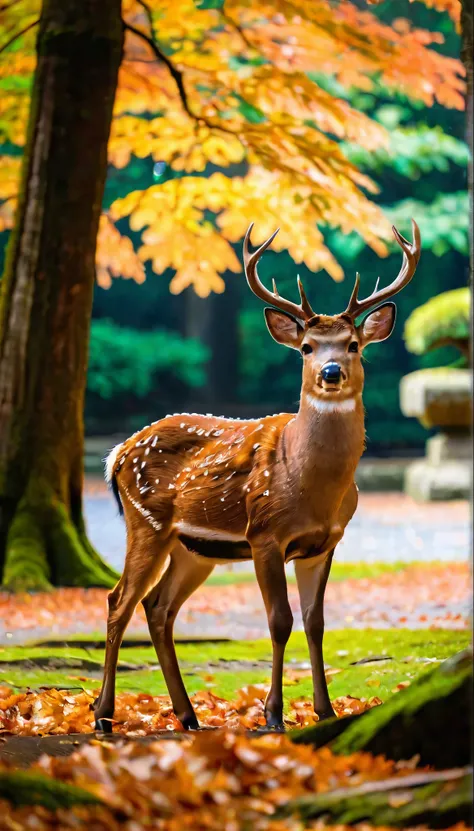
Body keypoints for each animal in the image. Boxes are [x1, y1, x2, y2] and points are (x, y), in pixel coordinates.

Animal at [94, 218, 420, 732]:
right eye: (306, 347)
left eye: (353, 345)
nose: (331, 371)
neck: (310, 485)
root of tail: (117, 453)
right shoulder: (264, 534)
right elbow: (279, 620)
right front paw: (273, 715)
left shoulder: (325, 543)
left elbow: (316, 622)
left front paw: (325, 710)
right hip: (145, 520)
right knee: (119, 601)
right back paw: (104, 716)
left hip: (193, 548)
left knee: (158, 607)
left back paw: (188, 715)